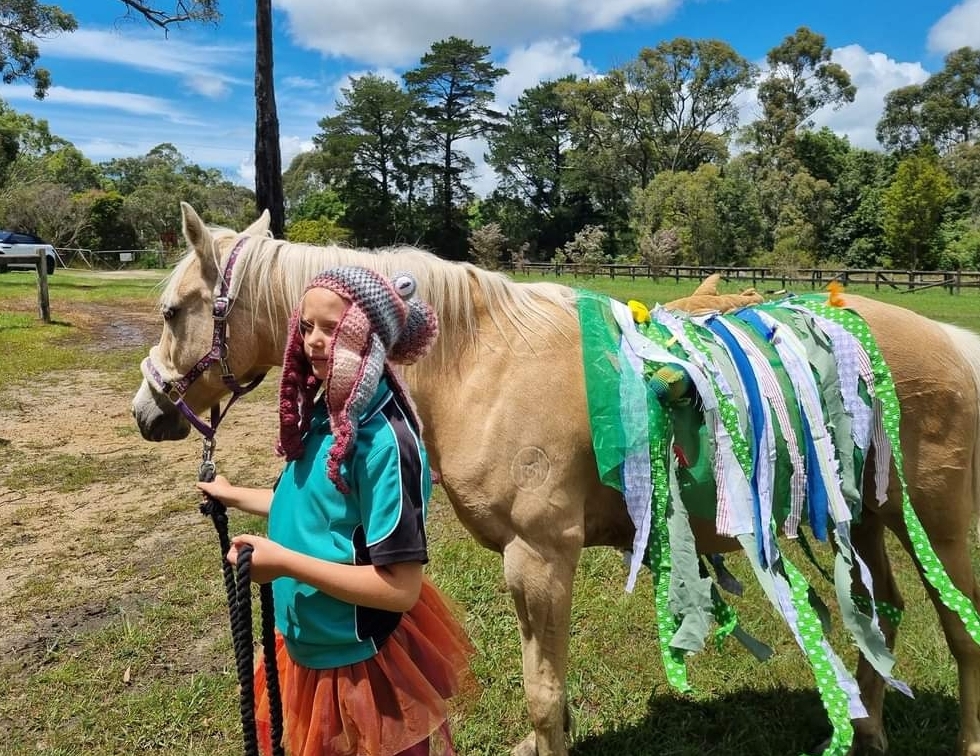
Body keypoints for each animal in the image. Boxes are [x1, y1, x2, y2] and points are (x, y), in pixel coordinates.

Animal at [132, 202, 980, 756]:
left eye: (174, 311)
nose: (147, 411)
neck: (482, 363)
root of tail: (947, 337)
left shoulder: (539, 559)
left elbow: (544, 696)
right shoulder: (524, 567)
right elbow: (545, 694)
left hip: (934, 522)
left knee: (958, 627)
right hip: (862, 518)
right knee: (882, 614)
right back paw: (868, 730)